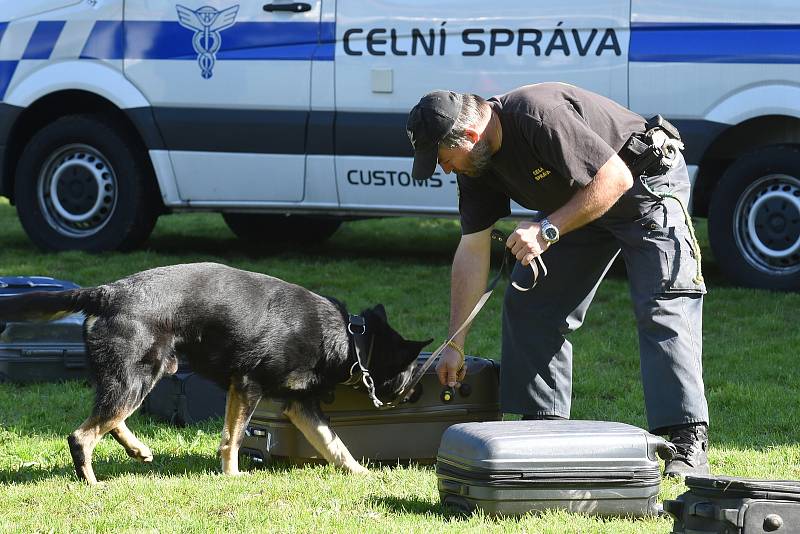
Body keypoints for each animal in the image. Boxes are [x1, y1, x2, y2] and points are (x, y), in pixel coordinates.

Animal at [0, 264, 432, 486]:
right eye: (413, 371)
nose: (418, 395)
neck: (350, 339)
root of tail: (107, 292)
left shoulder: (299, 404)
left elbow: (334, 444)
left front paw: (360, 472)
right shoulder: (247, 387)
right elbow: (234, 439)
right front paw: (232, 477)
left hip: (135, 378)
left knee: (110, 420)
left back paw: (137, 450)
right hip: (136, 377)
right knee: (83, 434)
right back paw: (91, 482)